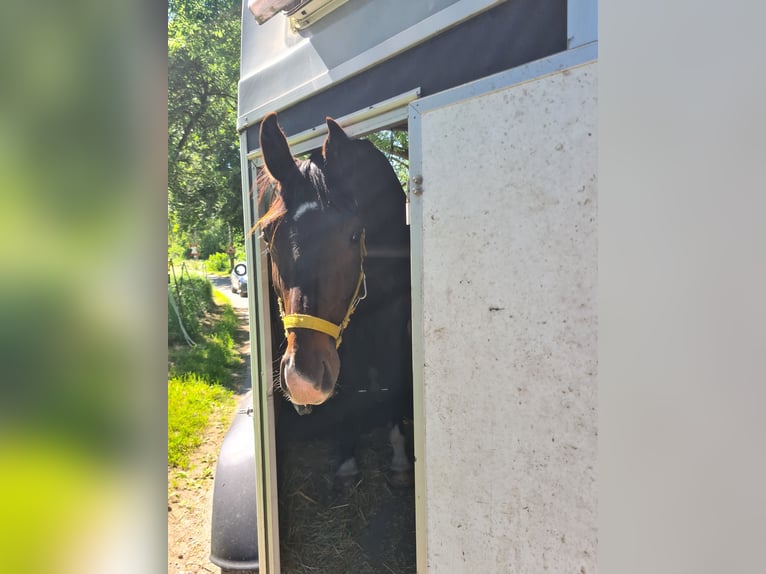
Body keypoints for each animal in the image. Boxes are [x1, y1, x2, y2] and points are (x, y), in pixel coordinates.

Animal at [255, 112, 413, 488]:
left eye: (353, 235)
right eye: (268, 237)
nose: (302, 379)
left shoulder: (393, 319)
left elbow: (392, 376)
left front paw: (400, 458)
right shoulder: (345, 332)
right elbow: (350, 384)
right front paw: (346, 460)